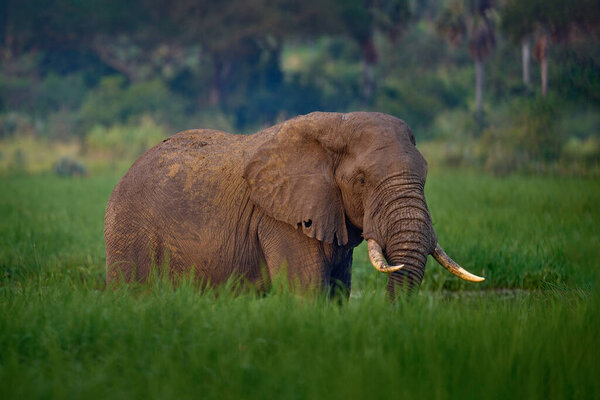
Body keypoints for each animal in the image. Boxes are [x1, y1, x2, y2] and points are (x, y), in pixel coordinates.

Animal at [104, 110, 482, 296]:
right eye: (361, 181)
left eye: (426, 176)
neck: (336, 125)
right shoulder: (281, 220)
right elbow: (307, 293)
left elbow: (338, 292)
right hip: (129, 229)